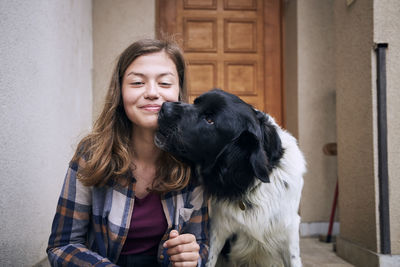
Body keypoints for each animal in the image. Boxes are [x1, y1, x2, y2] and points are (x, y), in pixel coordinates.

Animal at [155, 90, 304, 267]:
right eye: (196, 102)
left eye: (210, 120)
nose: (164, 107)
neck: (247, 183)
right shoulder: (219, 229)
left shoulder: (289, 229)